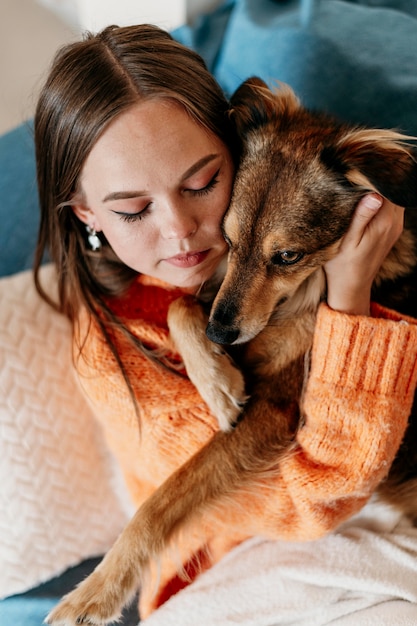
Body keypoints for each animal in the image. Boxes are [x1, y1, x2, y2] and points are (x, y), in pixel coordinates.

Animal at [44, 75, 416, 620]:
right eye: (228, 236)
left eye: (288, 256)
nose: (220, 337)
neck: (304, 298)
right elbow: (181, 305)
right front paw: (218, 383)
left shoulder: (276, 410)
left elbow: (164, 500)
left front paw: (97, 591)